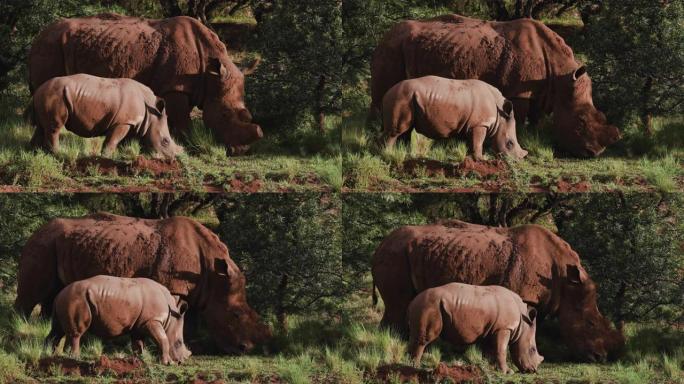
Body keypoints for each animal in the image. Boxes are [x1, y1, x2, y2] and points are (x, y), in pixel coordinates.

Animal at [30, 73, 182, 159]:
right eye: (165, 141)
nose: (173, 158)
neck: (150, 114)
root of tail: (38, 90)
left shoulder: (132, 123)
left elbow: (125, 142)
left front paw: (126, 154)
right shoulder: (124, 121)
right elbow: (113, 140)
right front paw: (106, 158)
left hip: (47, 95)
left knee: (41, 127)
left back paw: (34, 152)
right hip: (55, 95)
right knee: (54, 127)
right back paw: (57, 154)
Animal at [45, 274, 191, 364]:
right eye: (179, 343)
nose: (181, 361)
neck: (171, 319)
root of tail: (58, 295)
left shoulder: (140, 324)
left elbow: (138, 342)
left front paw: (139, 358)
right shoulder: (152, 320)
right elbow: (163, 339)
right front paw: (168, 363)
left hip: (66, 300)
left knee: (56, 330)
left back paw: (49, 354)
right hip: (76, 299)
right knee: (76, 332)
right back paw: (75, 357)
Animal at [380, 76, 528, 160]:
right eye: (510, 143)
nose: (518, 160)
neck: (500, 117)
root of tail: (386, 93)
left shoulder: (472, 125)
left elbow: (472, 142)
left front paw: (470, 157)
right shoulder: (480, 124)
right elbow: (478, 142)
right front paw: (482, 159)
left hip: (406, 98)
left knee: (406, 130)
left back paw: (404, 154)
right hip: (400, 97)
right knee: (396, 132)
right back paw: (388, 155)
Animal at [406, 282, 544, 372]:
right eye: (532, 350)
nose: (533, 370)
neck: (523, 325)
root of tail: (412, 302)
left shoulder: (491, 330)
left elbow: (489, 350)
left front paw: (490, 368)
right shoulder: (504, 328)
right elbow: (502, 349)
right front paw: (507, 372)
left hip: (425, 305)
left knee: (415, 336)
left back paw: (408, 363)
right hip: (429, 305)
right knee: (425, 338)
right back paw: (415, 367)